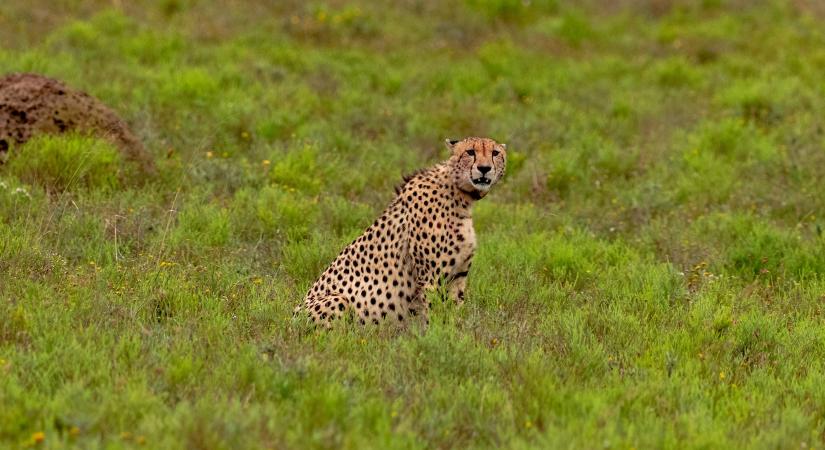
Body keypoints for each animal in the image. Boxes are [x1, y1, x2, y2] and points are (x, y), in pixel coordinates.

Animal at [292, 135, 506, 328]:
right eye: (470, 152)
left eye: (495, 153)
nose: (484, 168)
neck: (460, 194)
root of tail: (290, 318)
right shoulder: (431, 277)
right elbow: (434, 315)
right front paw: (435, 337)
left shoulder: (458, 276)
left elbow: (454, 314)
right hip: (338, 299)